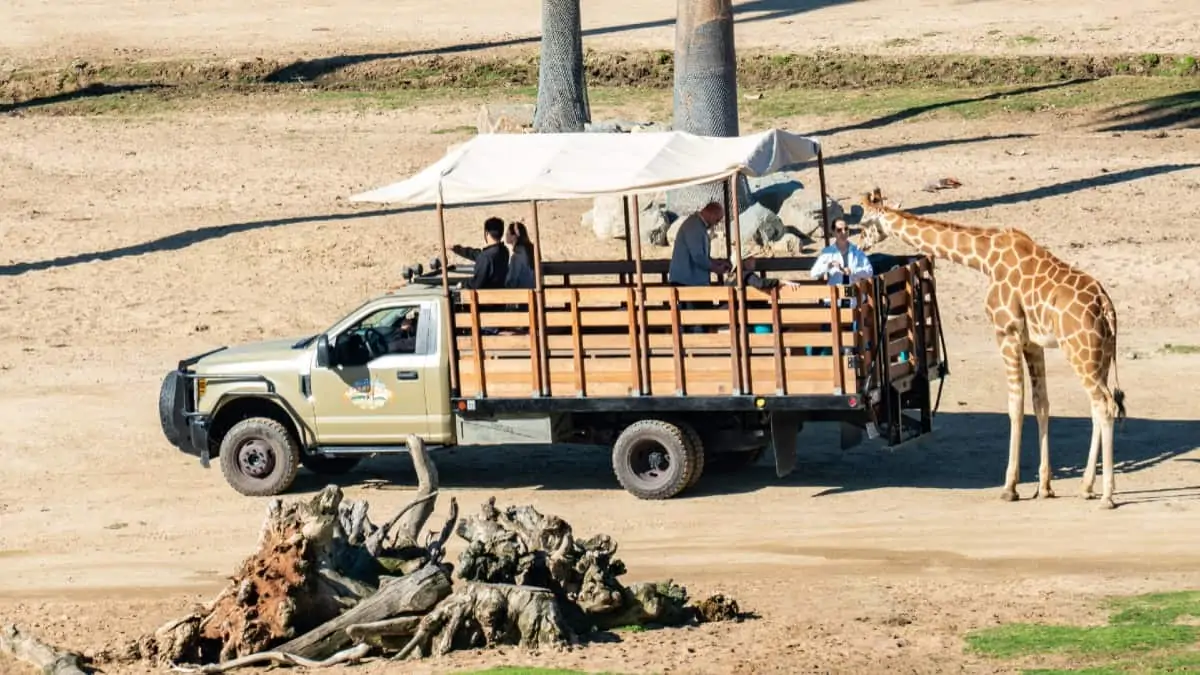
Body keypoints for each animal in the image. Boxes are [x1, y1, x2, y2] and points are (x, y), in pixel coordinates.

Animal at [854, 186, 1123, 506]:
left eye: (862, 224)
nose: (858, 245)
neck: (986, 259)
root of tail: (1106, 306)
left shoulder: (1006, 333)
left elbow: (1015, 406)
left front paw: (1010, 487)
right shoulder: (1033, 343)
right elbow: (1041, 404)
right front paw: (1044, 487)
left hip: (1081, 352)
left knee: (1105, 405)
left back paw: (1107, 495)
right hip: (1101, 356)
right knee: (1098, 405)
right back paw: (1086, 486)